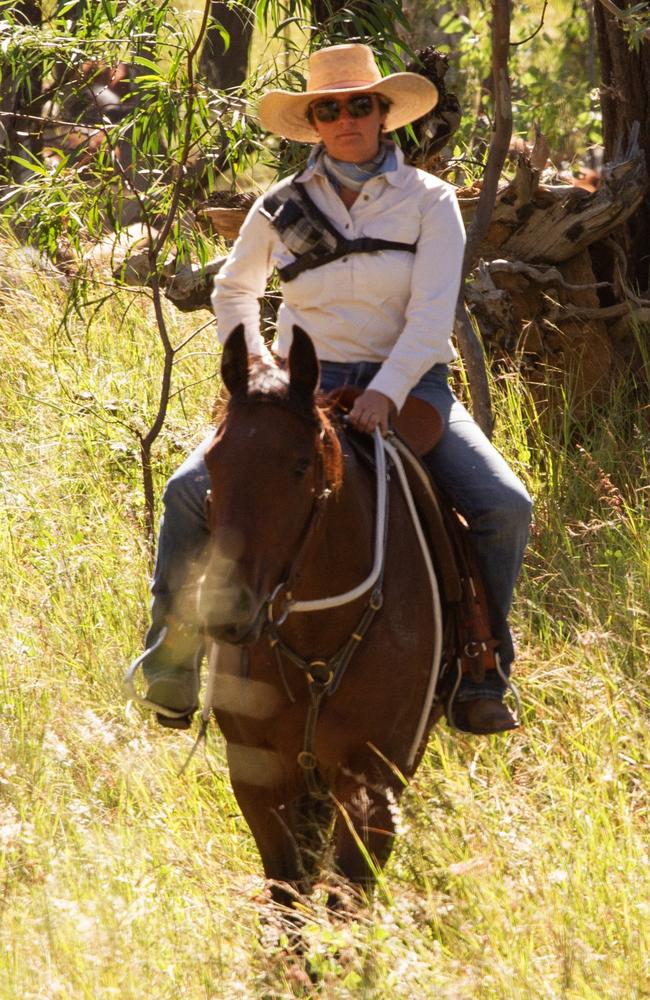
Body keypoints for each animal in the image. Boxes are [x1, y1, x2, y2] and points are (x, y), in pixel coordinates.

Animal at [200, 324, 442, 912]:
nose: (229, 610)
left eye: (299, 465)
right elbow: (286, 894)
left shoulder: (375, 783)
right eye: (213, 461)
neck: (314, 641)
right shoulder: (258, 775)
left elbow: (345, 901)